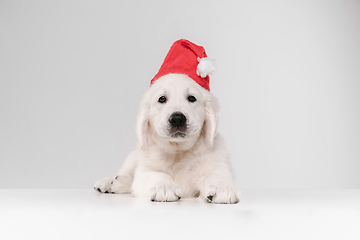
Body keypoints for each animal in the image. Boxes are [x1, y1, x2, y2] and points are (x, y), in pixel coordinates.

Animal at [94, 39, 240, 204]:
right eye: (162, 99)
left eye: (192, 98)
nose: (177, 119)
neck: (178, 152)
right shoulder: (145, 171)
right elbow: (155, 174)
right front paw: (164, 187)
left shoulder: (215, 163)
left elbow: (216, 173)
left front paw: (222, 187)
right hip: (132, 157)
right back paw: (109, 182)